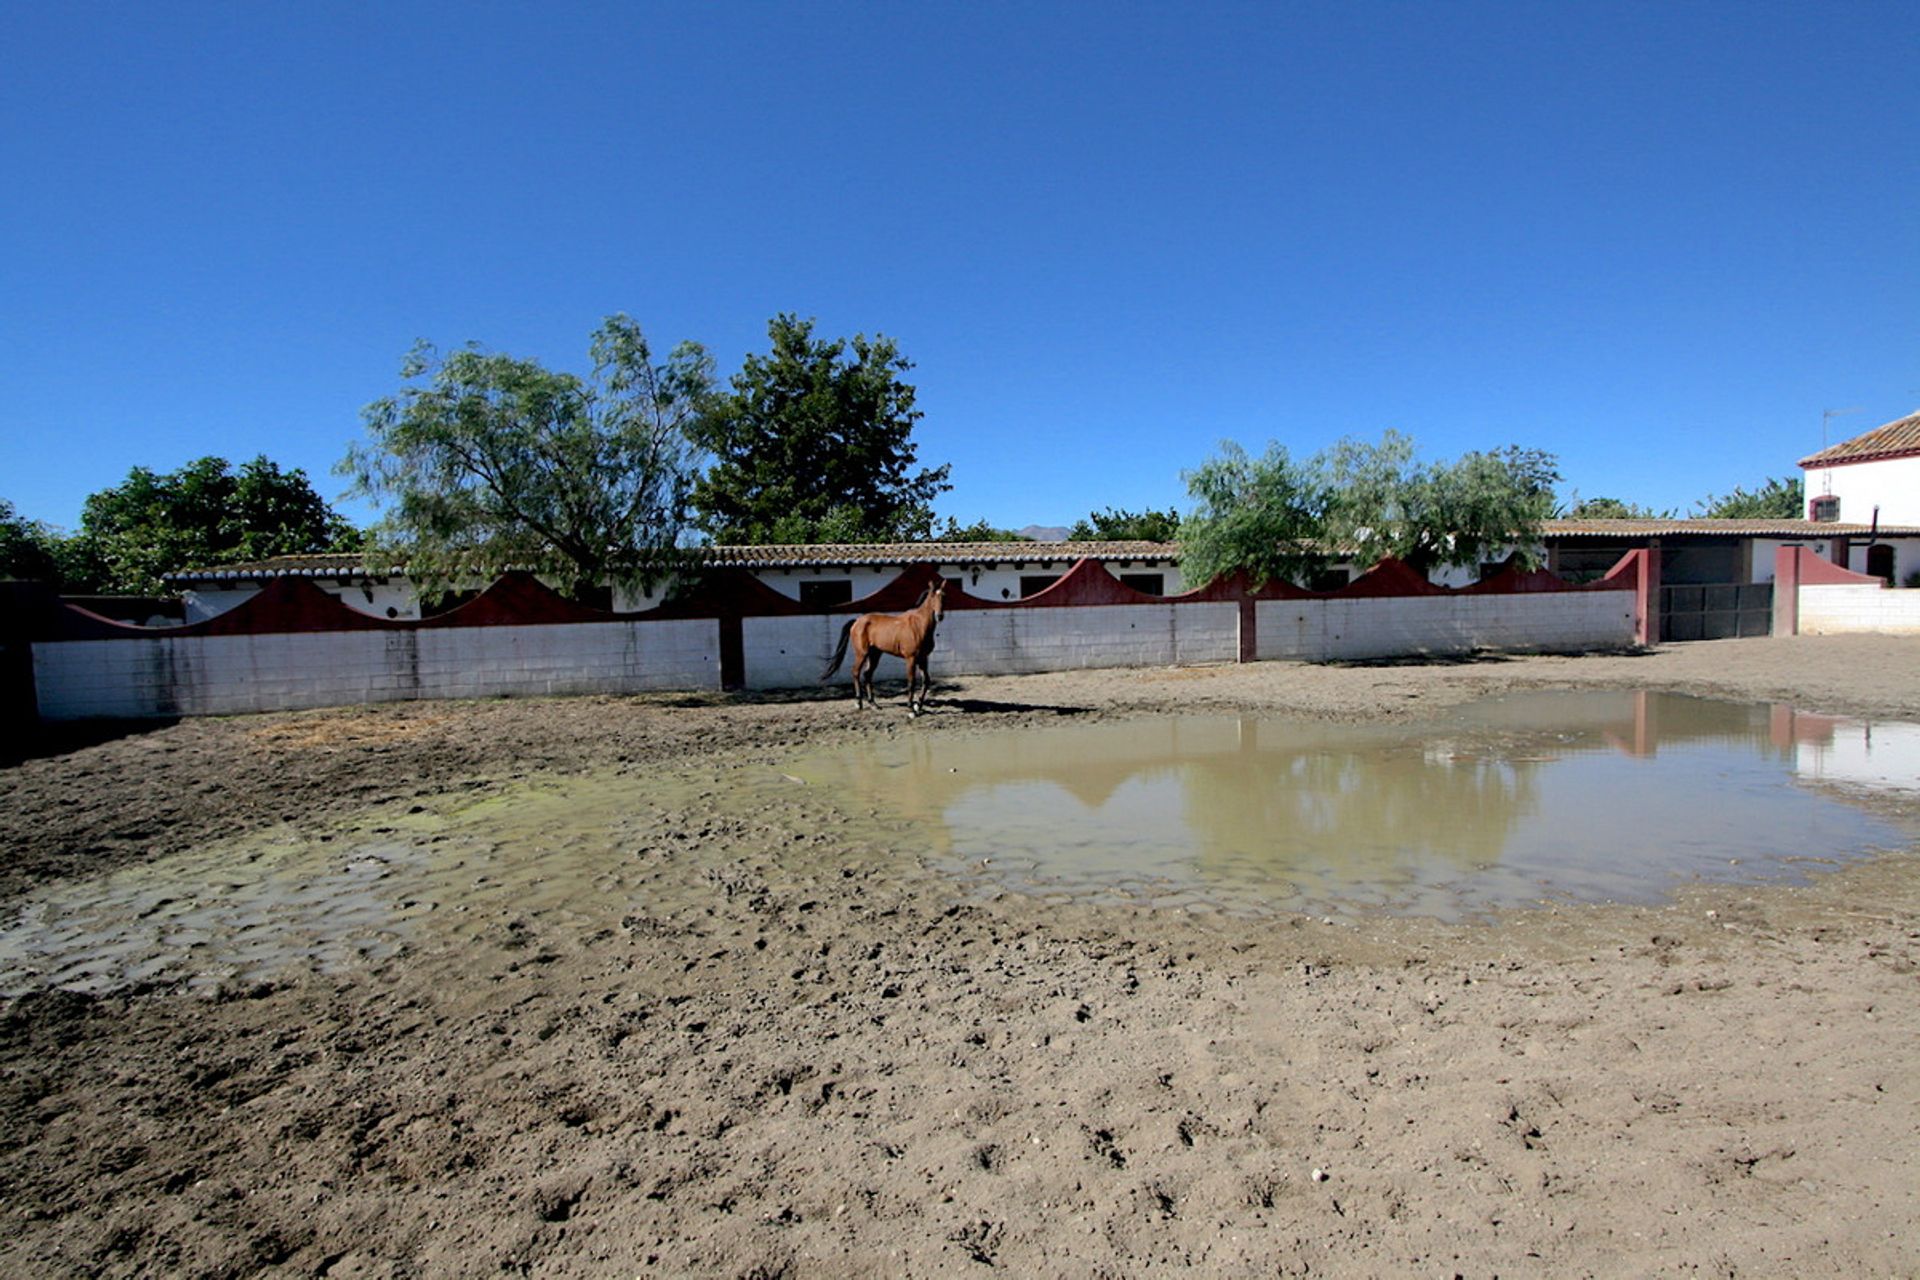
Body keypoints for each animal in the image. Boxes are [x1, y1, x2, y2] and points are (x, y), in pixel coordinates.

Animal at [821, 579, 948, 710]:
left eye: (944, 596)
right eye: (932, 596)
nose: (939, 616)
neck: (918, 626)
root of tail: (857, 621)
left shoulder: (923, 658)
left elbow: (926, 681)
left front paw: (918, 706)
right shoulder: (910, 658)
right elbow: (911, 682)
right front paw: (910, 707)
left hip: (874, 654)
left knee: (867, 674)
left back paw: (873, 703)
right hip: (862, 654)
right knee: (856, 672)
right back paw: (859, 702)